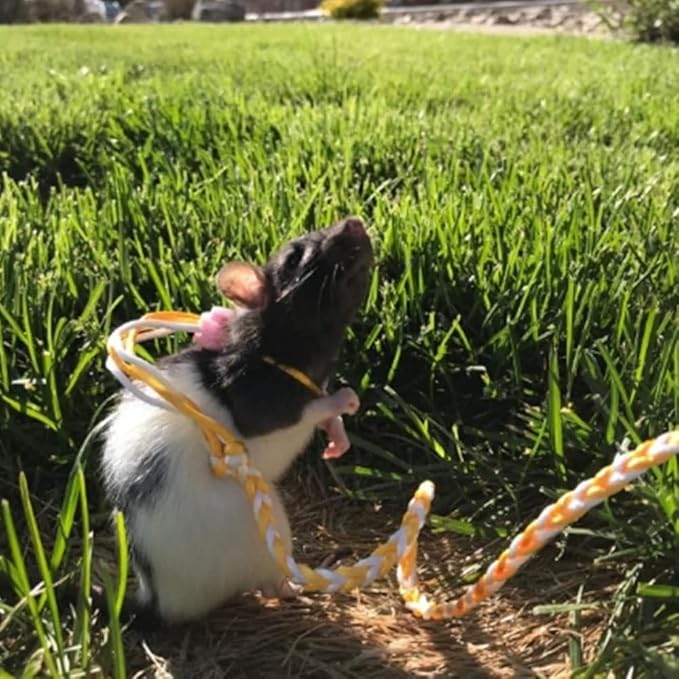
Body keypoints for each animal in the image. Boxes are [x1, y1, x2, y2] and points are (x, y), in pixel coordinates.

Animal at [101, 217, 373, 624]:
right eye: (295, 257)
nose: (353, 221)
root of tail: (161, 601)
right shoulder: (258, 400)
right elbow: (302, 411)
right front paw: (342, 400)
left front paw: (337, 436)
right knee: (266, 582)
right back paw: (290, 587)